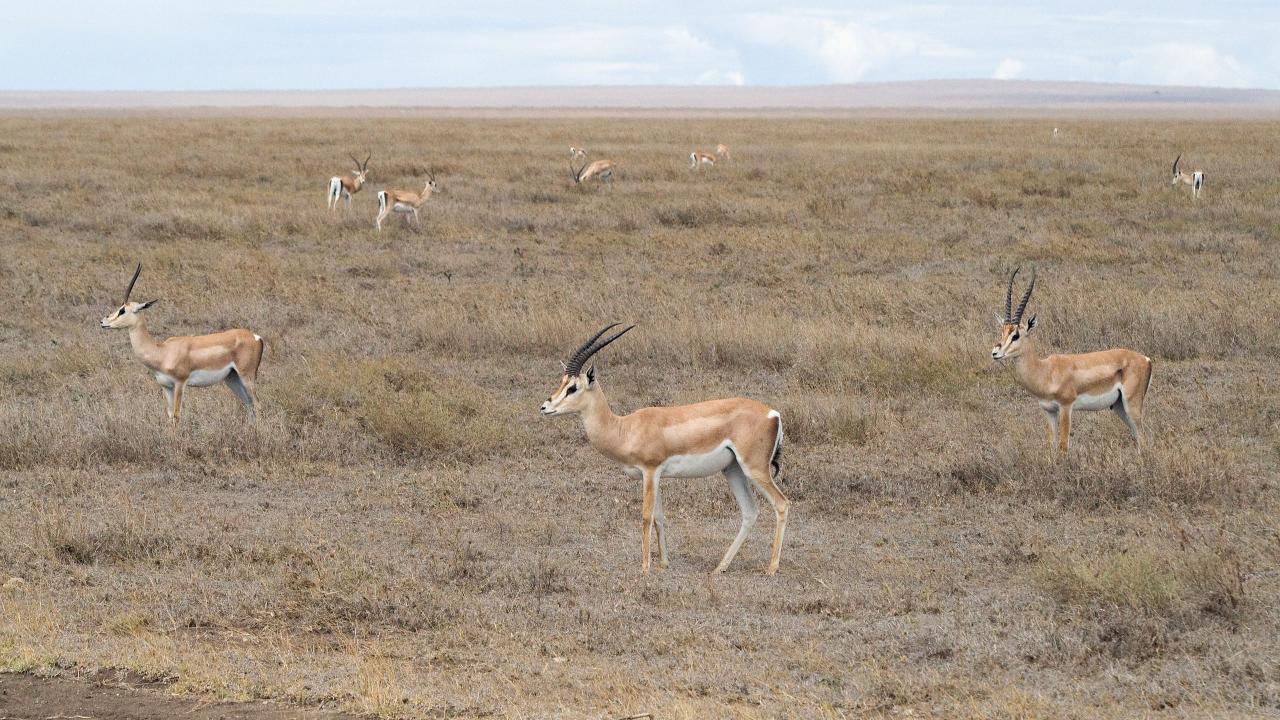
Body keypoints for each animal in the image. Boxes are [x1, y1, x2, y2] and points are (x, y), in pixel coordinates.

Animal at [99, 264, 265, 425]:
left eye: (122, 310)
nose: (102, 322)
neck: (162, 352)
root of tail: (256, 337)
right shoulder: (166, 386)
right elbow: (169, 415)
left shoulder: (180, 383)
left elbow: (177, 415)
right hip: (232, 378)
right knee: (249, 404)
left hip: (246, 377)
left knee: (257, 405)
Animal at [540, 324, 789, 575]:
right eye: (562, 382)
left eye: (573, 387)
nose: (544, 407)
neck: (625, 428)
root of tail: (773, 413)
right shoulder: (652, 476)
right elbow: (659, 516)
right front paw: (663, 563)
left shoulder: (651, 471)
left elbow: (646, 516)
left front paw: (645, 568)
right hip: (733, 470)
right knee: (750, 512)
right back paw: (720, 567)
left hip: (754, 469)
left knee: (782, 504)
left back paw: (772, 568)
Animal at [991, 268, 1153, 453]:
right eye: (1003, 332)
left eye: (1016, 335)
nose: (995, 353)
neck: (1046, 371)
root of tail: (1145, 359)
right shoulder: (1049, 411)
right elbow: (1051, 444)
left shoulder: (1066, 407)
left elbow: (1063, 446)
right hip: (1119, 407)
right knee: (1140, 438)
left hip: (1131, 406)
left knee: (1143, 437)